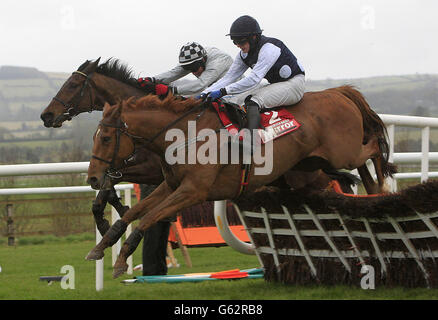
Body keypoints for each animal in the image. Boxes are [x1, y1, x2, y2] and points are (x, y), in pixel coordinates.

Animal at [84, 87, 394, 278]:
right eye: (96, 136)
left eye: (106, 138)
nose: (93, 178)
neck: (183, 134)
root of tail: (338, 92)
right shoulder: (170, 186)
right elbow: (134, 214)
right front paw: (102, 246)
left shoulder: (193, 191)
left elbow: (148, 218)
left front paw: (121, 260)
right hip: (310, 170)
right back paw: (372, 195)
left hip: (344, 152)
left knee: (374, 145)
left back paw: (382, 187)